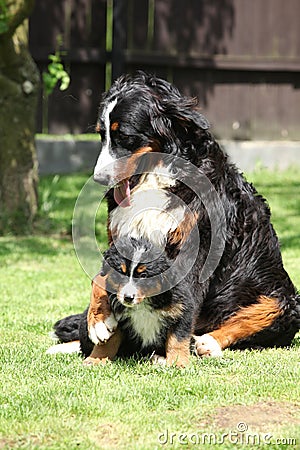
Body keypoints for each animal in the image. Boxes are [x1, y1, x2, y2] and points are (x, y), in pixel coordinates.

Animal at [48, 70, 298, 366]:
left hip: (283, 300)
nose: (99, 179)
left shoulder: (198, 248)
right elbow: (102, 276)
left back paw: (207, 343)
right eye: (102, 135)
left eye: (125, 136)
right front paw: (98, 317)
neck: (157, 178)